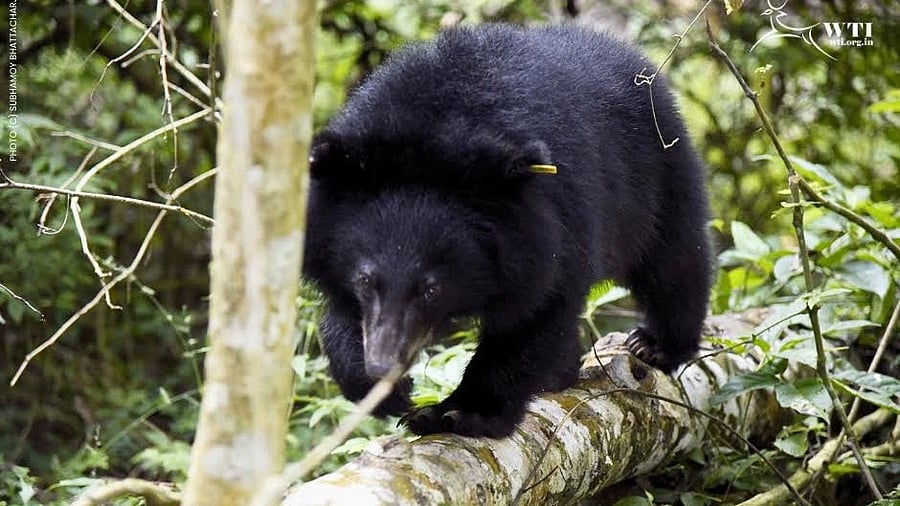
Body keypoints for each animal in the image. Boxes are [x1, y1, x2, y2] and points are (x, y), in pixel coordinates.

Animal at [303, 24, 711, 438]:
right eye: (366, 279)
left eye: (431, 289)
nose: (383, 364)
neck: (432, 132)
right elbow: (340, 313)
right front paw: (384, 391)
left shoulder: (551, 224)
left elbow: (535, 313)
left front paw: (458, 413)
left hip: (660, 176)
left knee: (674, 262)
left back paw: (655, 345)